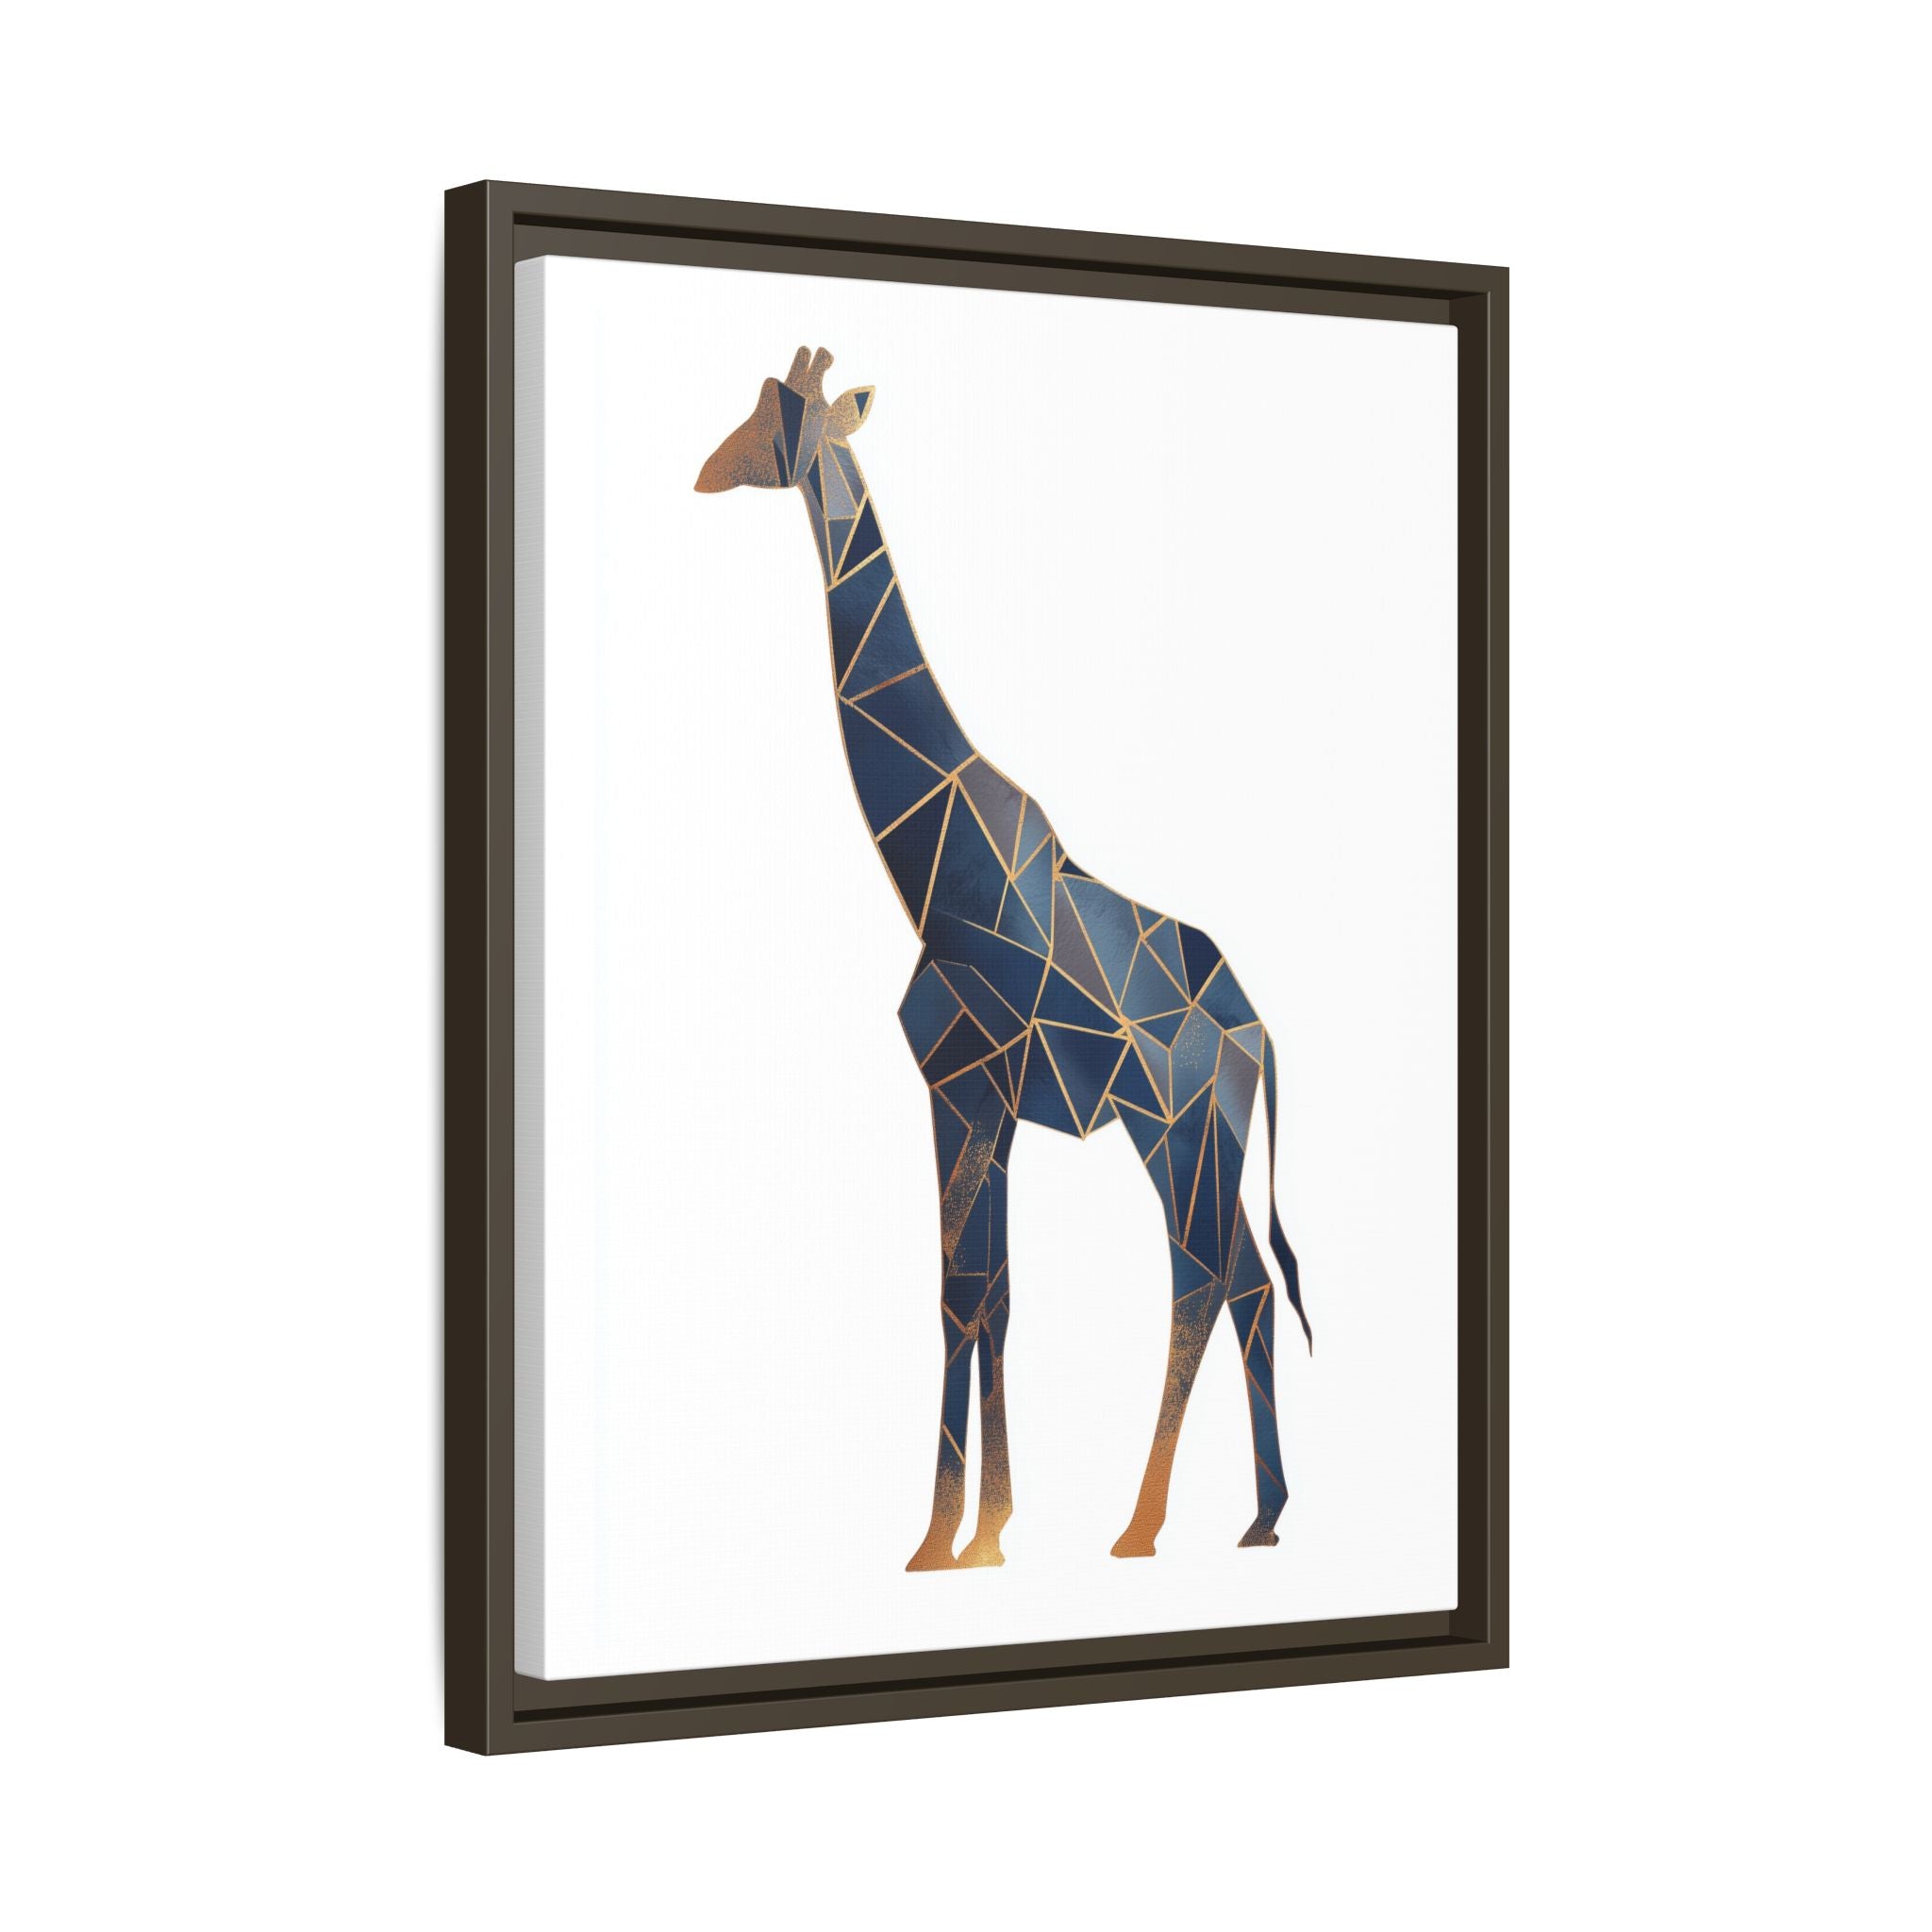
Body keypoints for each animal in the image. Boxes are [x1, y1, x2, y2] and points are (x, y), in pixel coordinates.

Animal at [696, 346, 1311, 1569]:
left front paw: (941, 1538)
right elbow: (994, 1294)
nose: (705, 469)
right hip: (1207, 1134)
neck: (933, 871)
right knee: (1249, 1282)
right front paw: (986, 1530)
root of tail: (1258, 1033)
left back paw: (1142, 1524)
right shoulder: (985, 1099)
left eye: (776, 417)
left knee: (1199, 1278)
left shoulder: (961, 1084)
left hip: (1169, 1126)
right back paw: (1260, 1517)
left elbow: (958, 1293)